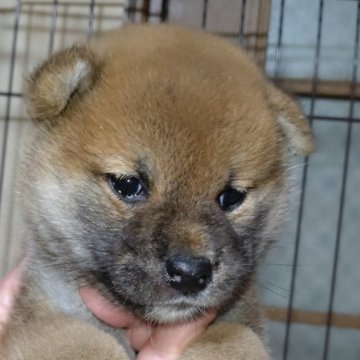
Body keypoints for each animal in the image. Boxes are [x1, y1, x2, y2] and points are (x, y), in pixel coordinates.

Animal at [1, 23, 314, 358]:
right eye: (127, 184)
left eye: (231, 196)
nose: (190, 272)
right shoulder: (44, 318)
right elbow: (83, 340)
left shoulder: (239, 317)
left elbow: (234, 338)